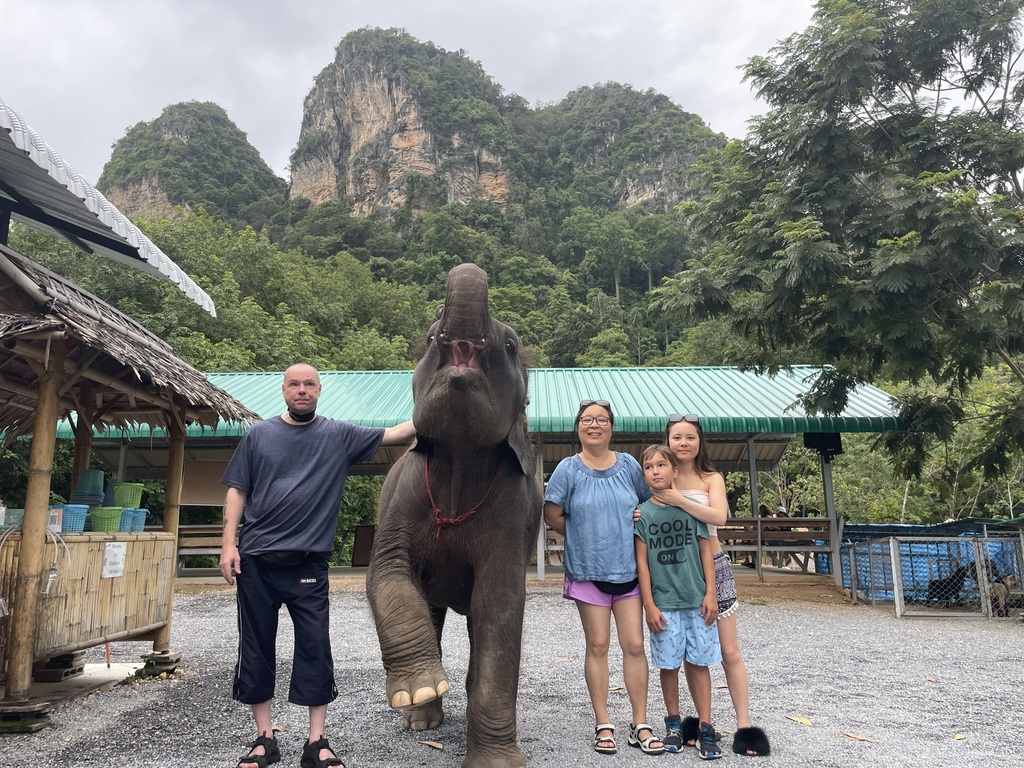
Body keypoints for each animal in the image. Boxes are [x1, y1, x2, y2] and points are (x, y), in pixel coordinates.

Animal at [367, 263, 542, 768]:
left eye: (510, 345)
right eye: (429, 338)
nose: (469, 267)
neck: (461, 462)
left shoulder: (513, 514)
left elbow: (499, 608)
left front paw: (496, 764)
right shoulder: (404, 497)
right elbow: (387, 571)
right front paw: (417, 688)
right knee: (430, 606)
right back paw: (421, 717)